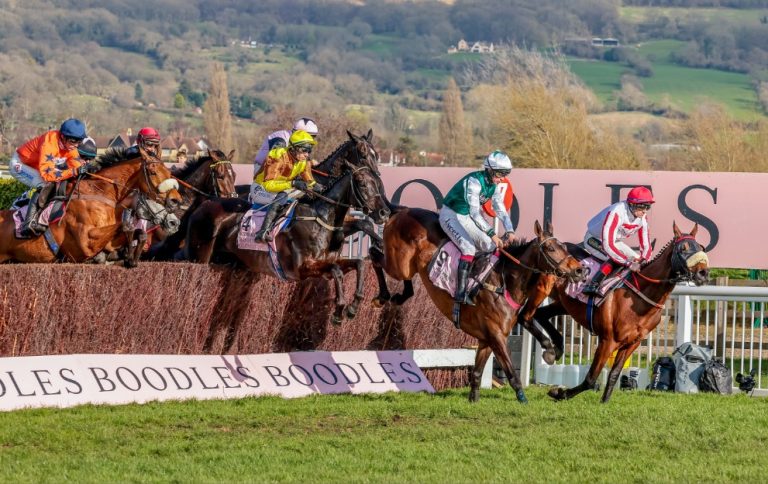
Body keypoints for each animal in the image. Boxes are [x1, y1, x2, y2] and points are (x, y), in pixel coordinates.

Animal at [0, 147, 182, 264]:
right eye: (153, 172)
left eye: (168, 172)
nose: (176, 200)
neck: (100, 193)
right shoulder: (85, 242)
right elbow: (126, 226)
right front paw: (129, 255)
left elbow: (136, 233)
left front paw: (131, 258)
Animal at [366, 206, 584, 402]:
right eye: (550, 248)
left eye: (565, 247)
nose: (579, 270)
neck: (504, 283)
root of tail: (401, 210)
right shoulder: (496, 335)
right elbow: (512, 374)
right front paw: (523, 399)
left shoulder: (486, 339)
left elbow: (478, 373)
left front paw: (473, 399)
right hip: (399, 264)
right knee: (374, 254)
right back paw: (381, 297)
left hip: (407, 267)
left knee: (397, 273)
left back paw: (399, 296)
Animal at [524, 221, 712, 402]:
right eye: (683, 248)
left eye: (701, 247)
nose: (703, 273)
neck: (639, 297)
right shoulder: (608, 341)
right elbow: (591, 378)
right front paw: (560, 393)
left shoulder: (631, 343)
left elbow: (614, 374)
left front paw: (604, 402)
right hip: (540, 291)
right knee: (525, 315)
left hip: (564, 304)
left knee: (541, 314)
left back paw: (553, 350)